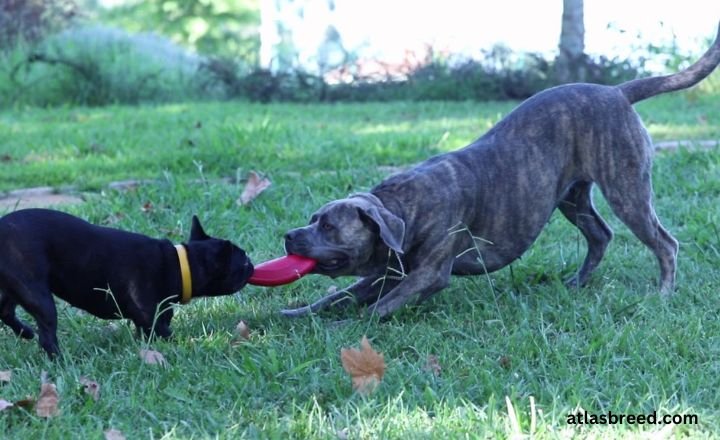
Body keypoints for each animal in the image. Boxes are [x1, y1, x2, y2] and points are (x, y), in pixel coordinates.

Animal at [0, 208, 253, 356]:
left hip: (14, 289)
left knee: (6, 311)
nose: (251, 264)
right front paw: (186, 344)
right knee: (46, 334)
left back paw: (25, 332)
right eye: (242, 262)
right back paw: (60, 360)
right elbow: (164, 331)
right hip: (37, 294)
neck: (180, 264)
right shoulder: (150, 316)